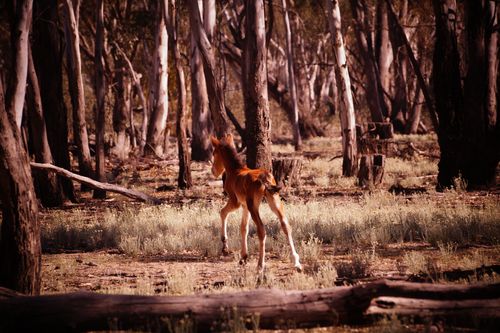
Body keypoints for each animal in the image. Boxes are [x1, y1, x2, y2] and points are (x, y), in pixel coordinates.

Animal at [211, 134, 300, 272]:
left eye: (214, 153)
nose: (213, 171)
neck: (235, 170)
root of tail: (264, 179)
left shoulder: (235, 202)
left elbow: (222, 212)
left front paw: (225, 246)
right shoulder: (244, 206)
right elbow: (244, 227)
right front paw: (243, 257)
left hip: (254, 205)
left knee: (261, 230)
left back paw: (260, 265)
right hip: (274, 200)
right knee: (286, 225)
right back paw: (296, 262)